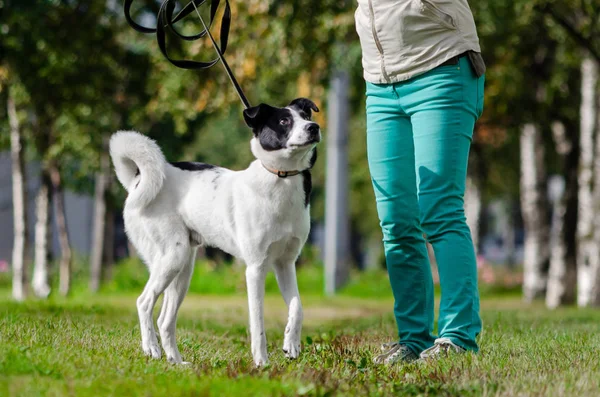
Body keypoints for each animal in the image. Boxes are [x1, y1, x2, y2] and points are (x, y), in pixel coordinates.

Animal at [110, 98, 322, 366]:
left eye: (306, 115)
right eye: (284, 121)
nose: (314, 127)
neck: (281, 178)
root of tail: (137, 181)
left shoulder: (285, 264)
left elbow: (297, 308)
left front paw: (291, 344)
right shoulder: (256, 268)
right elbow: (258, 323)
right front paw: (261, 363)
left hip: (183, 269)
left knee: (165, 320)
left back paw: (177, 362)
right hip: (171, 257)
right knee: (144, 302)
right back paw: (151, 348)